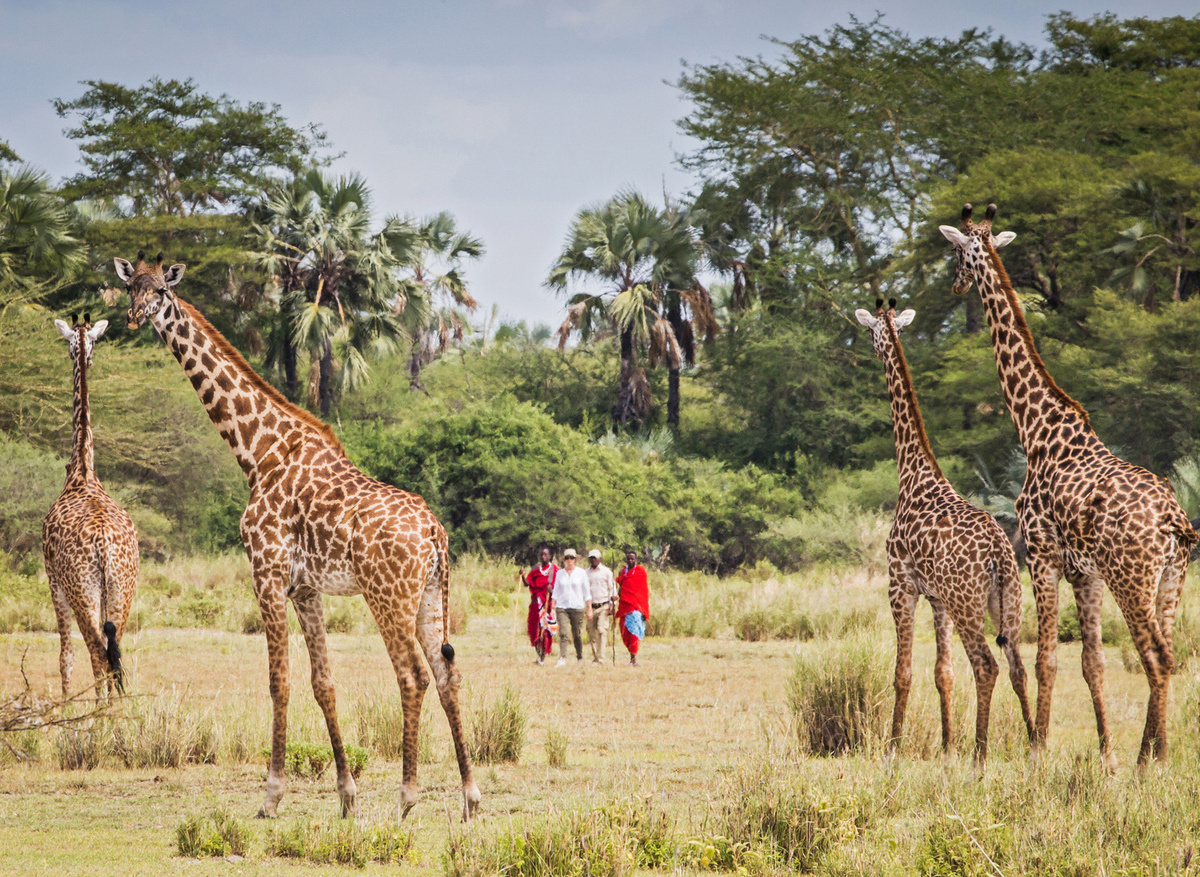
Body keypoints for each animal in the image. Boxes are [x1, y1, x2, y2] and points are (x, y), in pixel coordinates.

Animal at [42, 314, 139, 698]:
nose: (85, 355)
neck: (82, 467)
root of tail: (103, 544)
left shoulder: (54, 581)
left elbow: (65, 656)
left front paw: (67, 707)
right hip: (122, 589)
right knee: (114, 652)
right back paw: (115, 714)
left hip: (81, 590)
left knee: (97, 653)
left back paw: (99, 713)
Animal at [114, 252, 481, 821]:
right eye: (131, 286)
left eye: (162, 292)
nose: (134, 317)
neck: (256, 452)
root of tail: (436, 532)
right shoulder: (306, 587)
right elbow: (323, 682)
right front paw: (347, 795)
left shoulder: (265, 572)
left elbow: (278, 681)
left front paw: (271, 794)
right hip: (429, 595)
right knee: (447, 674)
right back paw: (469, 797)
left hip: (387, 596)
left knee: (413, 675)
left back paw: (408, 797)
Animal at [856, 300, 1033, 766]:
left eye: (872, 332)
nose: (873, 349)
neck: (913, 475)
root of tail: (998, 553)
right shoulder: (937, 598)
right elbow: (944, 673)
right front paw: (947, 746)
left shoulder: (900, 584)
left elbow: (903, 672)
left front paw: (893, 749)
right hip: (1006, 601)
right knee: (1018, 666)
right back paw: (1034, 746)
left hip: (968, 602)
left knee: (987, 665)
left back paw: (980, 755)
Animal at [940, 204, 1197, 768]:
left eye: (958, 253)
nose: (954, 285)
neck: (1036, 428)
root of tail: (1173, 520)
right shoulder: (1085, 572)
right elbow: (1092, 663)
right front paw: (1106, 755)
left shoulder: (1040, 551)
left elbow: (1047, 660)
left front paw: (1038, 750)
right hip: (1171, 575)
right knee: (1168, 653)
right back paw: (1153, 753)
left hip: (1132, 577)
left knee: (1155, 654)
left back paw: (1152, 760)